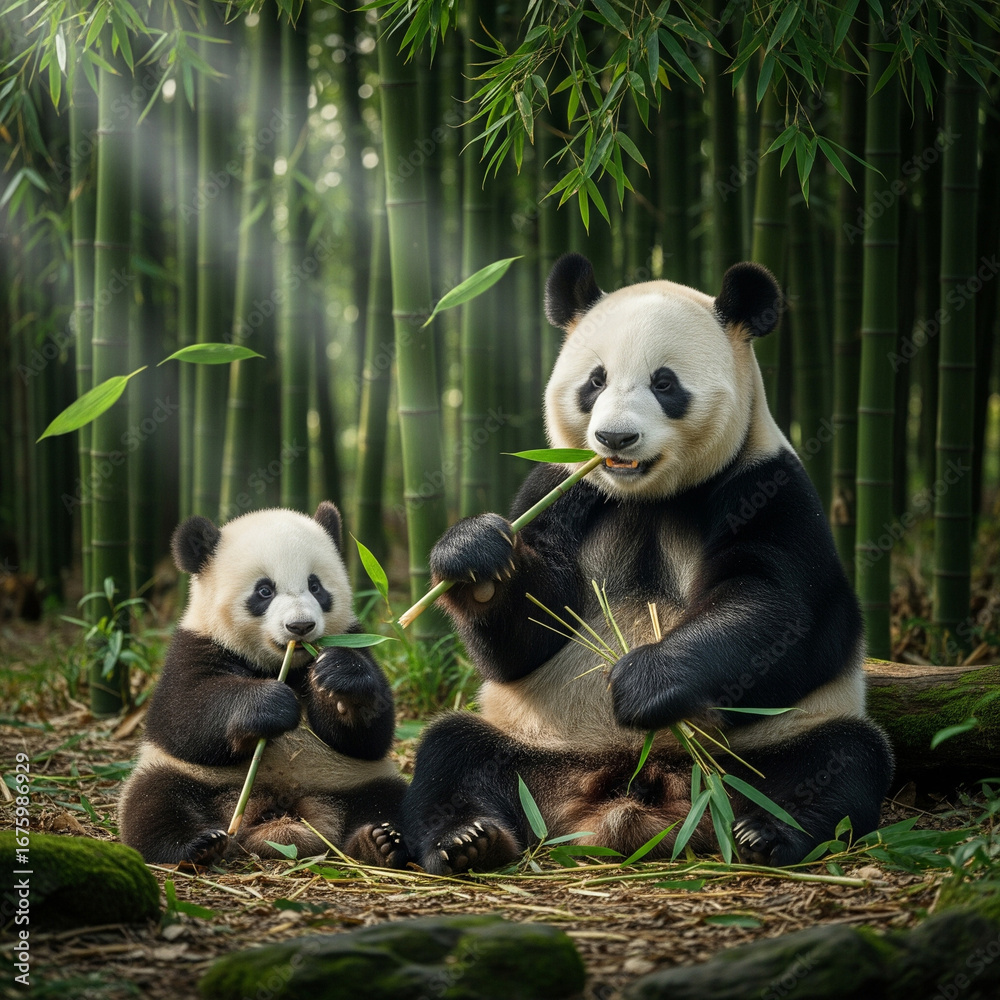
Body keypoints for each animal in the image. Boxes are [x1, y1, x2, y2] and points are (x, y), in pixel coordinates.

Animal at [118, 502, 408, 867]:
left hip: (353, 780)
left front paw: (340, 679)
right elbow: (183, 718)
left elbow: (372, 736)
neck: (282, 664)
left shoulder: (353, 638)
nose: (300, 626)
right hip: (186, 777)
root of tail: (279, 815)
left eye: (315, 586)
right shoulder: (194, 646)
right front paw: (270, 705)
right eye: (264, 590)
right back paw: (198, 845)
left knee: (397, 801)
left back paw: (380, 842)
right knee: (155, 802)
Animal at [401, 253, 894, 874]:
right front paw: (476, 559)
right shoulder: (562, 487)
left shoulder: (767, 485)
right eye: (595, 380)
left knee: (843, 759)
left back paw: (767, 834)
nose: (615, 437)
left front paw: (642, 683)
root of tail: (625, 800)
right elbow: (525, 639)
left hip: (764, 750)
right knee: (450, 752)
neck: (647, 495)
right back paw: (468, 839)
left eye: (665, 383)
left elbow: (784, 609)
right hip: (531, 744)